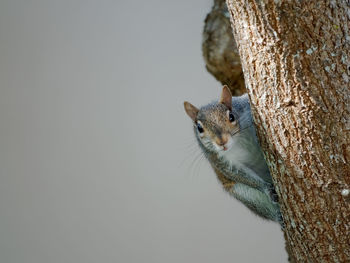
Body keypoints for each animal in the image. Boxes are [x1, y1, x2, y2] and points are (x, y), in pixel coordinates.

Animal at [183, 86, 282, 225]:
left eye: (231, 116)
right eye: (199, 128)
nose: (222, 142)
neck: (237, 142)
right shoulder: (218, 160)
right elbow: (239, 174)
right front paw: (267, 189)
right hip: (249, 197)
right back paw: (279, 215)